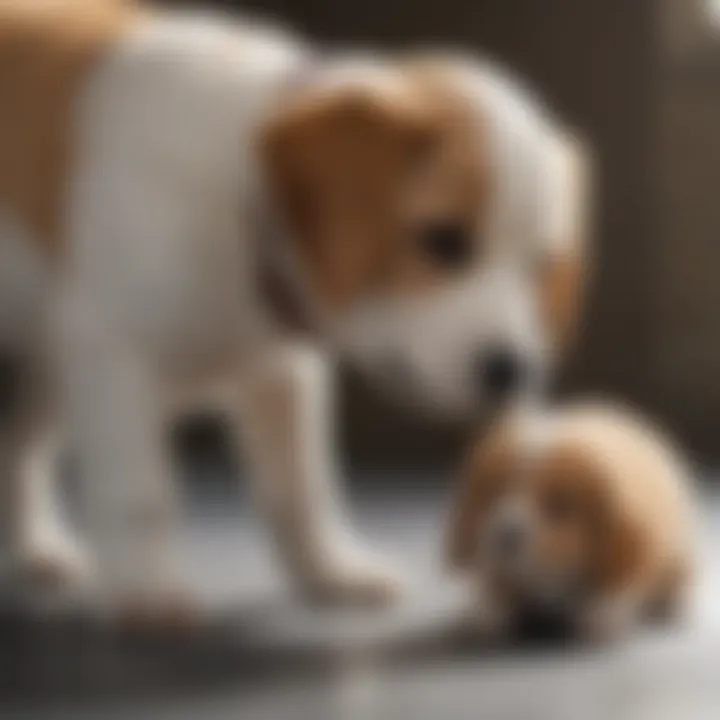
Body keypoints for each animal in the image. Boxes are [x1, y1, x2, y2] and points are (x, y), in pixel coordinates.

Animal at [0, 0, 592, 620]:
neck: (240, 203)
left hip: (53, 373)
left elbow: (304, 489)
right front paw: (147, 589)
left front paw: (331, 571)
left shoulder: (282, 373)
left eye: (540, 265)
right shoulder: (113, 356)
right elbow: (140, 492)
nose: (512, 369)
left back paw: (35, 549)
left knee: (16, 447)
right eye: (443, 241)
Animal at [448, 402, 696, 644]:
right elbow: (498, 583)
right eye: (497, 493)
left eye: (560, 506)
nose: (506, 534)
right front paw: (489, 614)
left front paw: (598, 617)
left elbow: (617, 584)